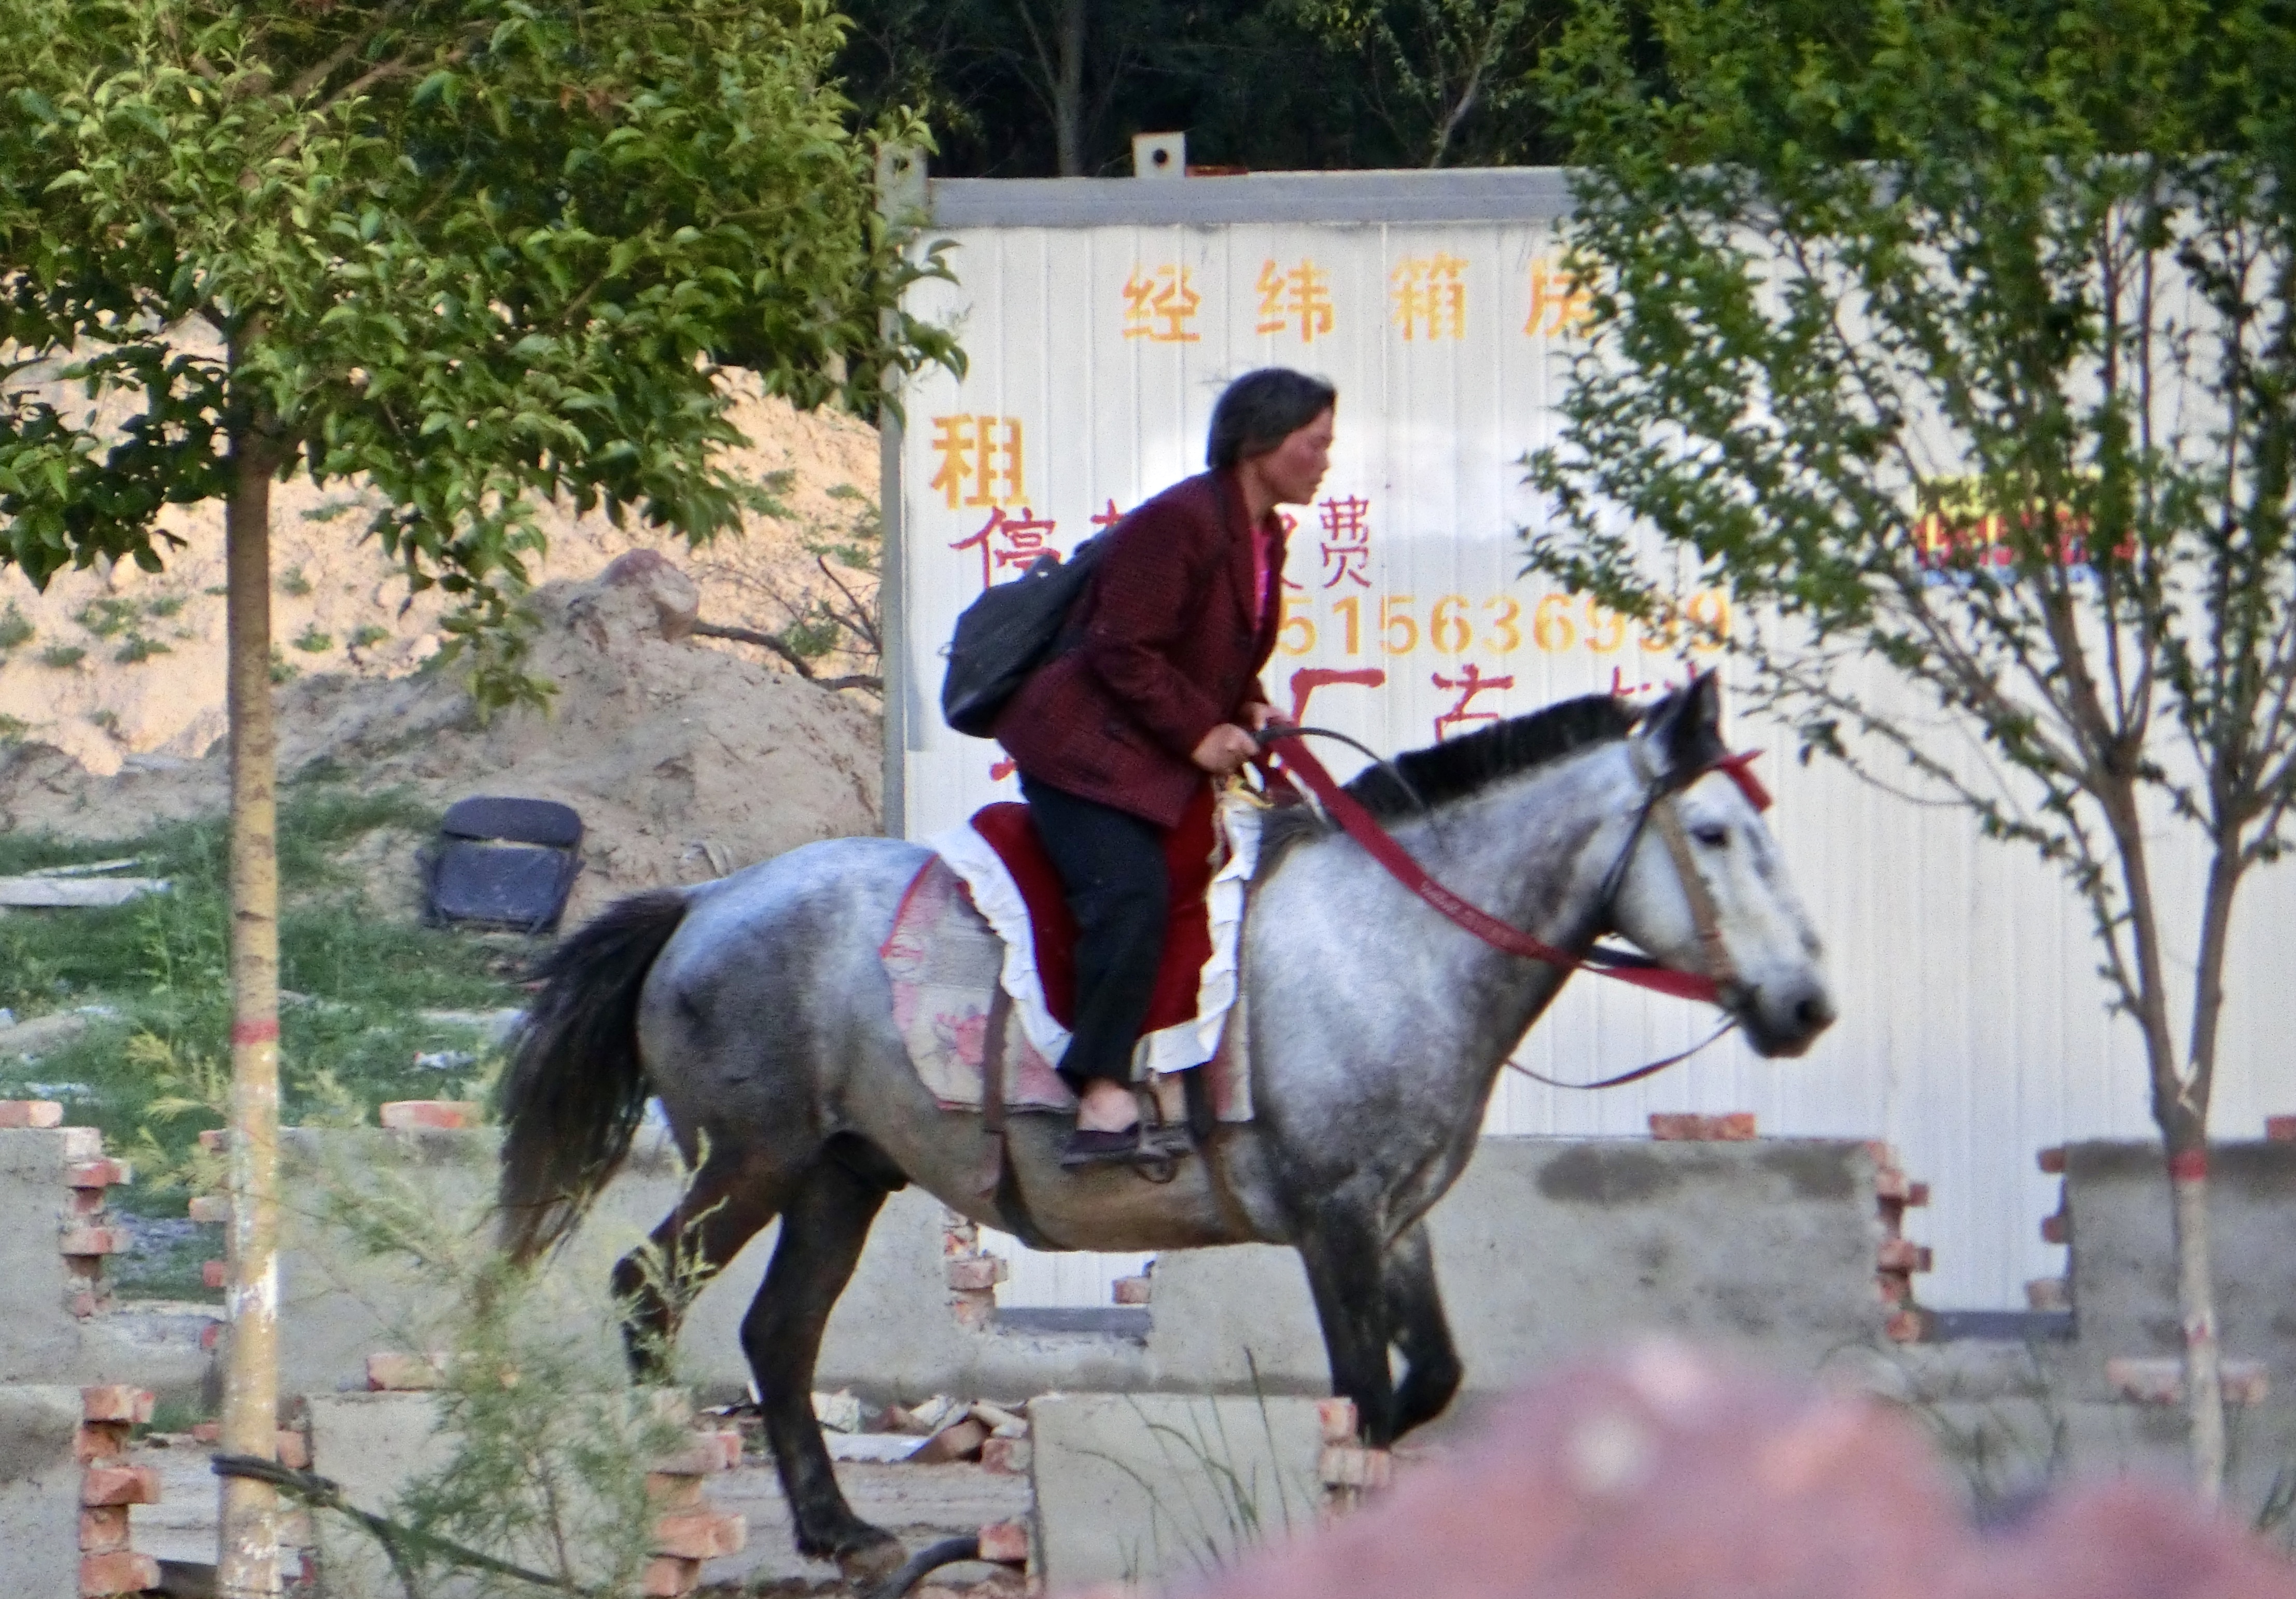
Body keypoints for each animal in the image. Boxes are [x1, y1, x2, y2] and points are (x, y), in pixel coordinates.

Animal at [494, 672, 1834, 1576]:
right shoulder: (1335, 1220)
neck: (1396, 945)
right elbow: (1360, 1398)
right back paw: (650, 1498)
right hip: (750, 1159)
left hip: (839, 1174)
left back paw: (845, 1534)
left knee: (778, 1333)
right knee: (644, 1289)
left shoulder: (1395, 1216)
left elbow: (1428, 1383)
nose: (1803, 1004)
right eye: (1714, 832)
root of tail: (704, 899)